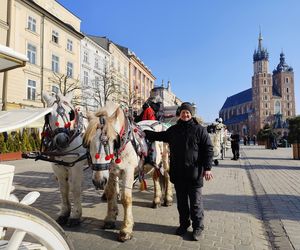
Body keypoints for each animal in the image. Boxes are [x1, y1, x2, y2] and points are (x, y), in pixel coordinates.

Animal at [40, 91, 86, 227]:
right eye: (48, 114)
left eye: (70, 113)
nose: (61, 140)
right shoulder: (58, 167)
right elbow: (63, 189)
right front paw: (64, 213)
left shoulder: (77, 166)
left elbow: (75, 188)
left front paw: (76, 215)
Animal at [84, 102, 172, 241]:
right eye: (87, 143)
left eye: (109, 140)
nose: (98, 181)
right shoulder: (111, 172)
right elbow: (111, 194)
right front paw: (110, 218)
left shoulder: (128, 171)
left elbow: (126, 198)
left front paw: (126, 229)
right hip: (153, 164)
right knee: (156, 178)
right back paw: (156, 200)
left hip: (165, 159)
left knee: (167, 176)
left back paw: (167, 199)